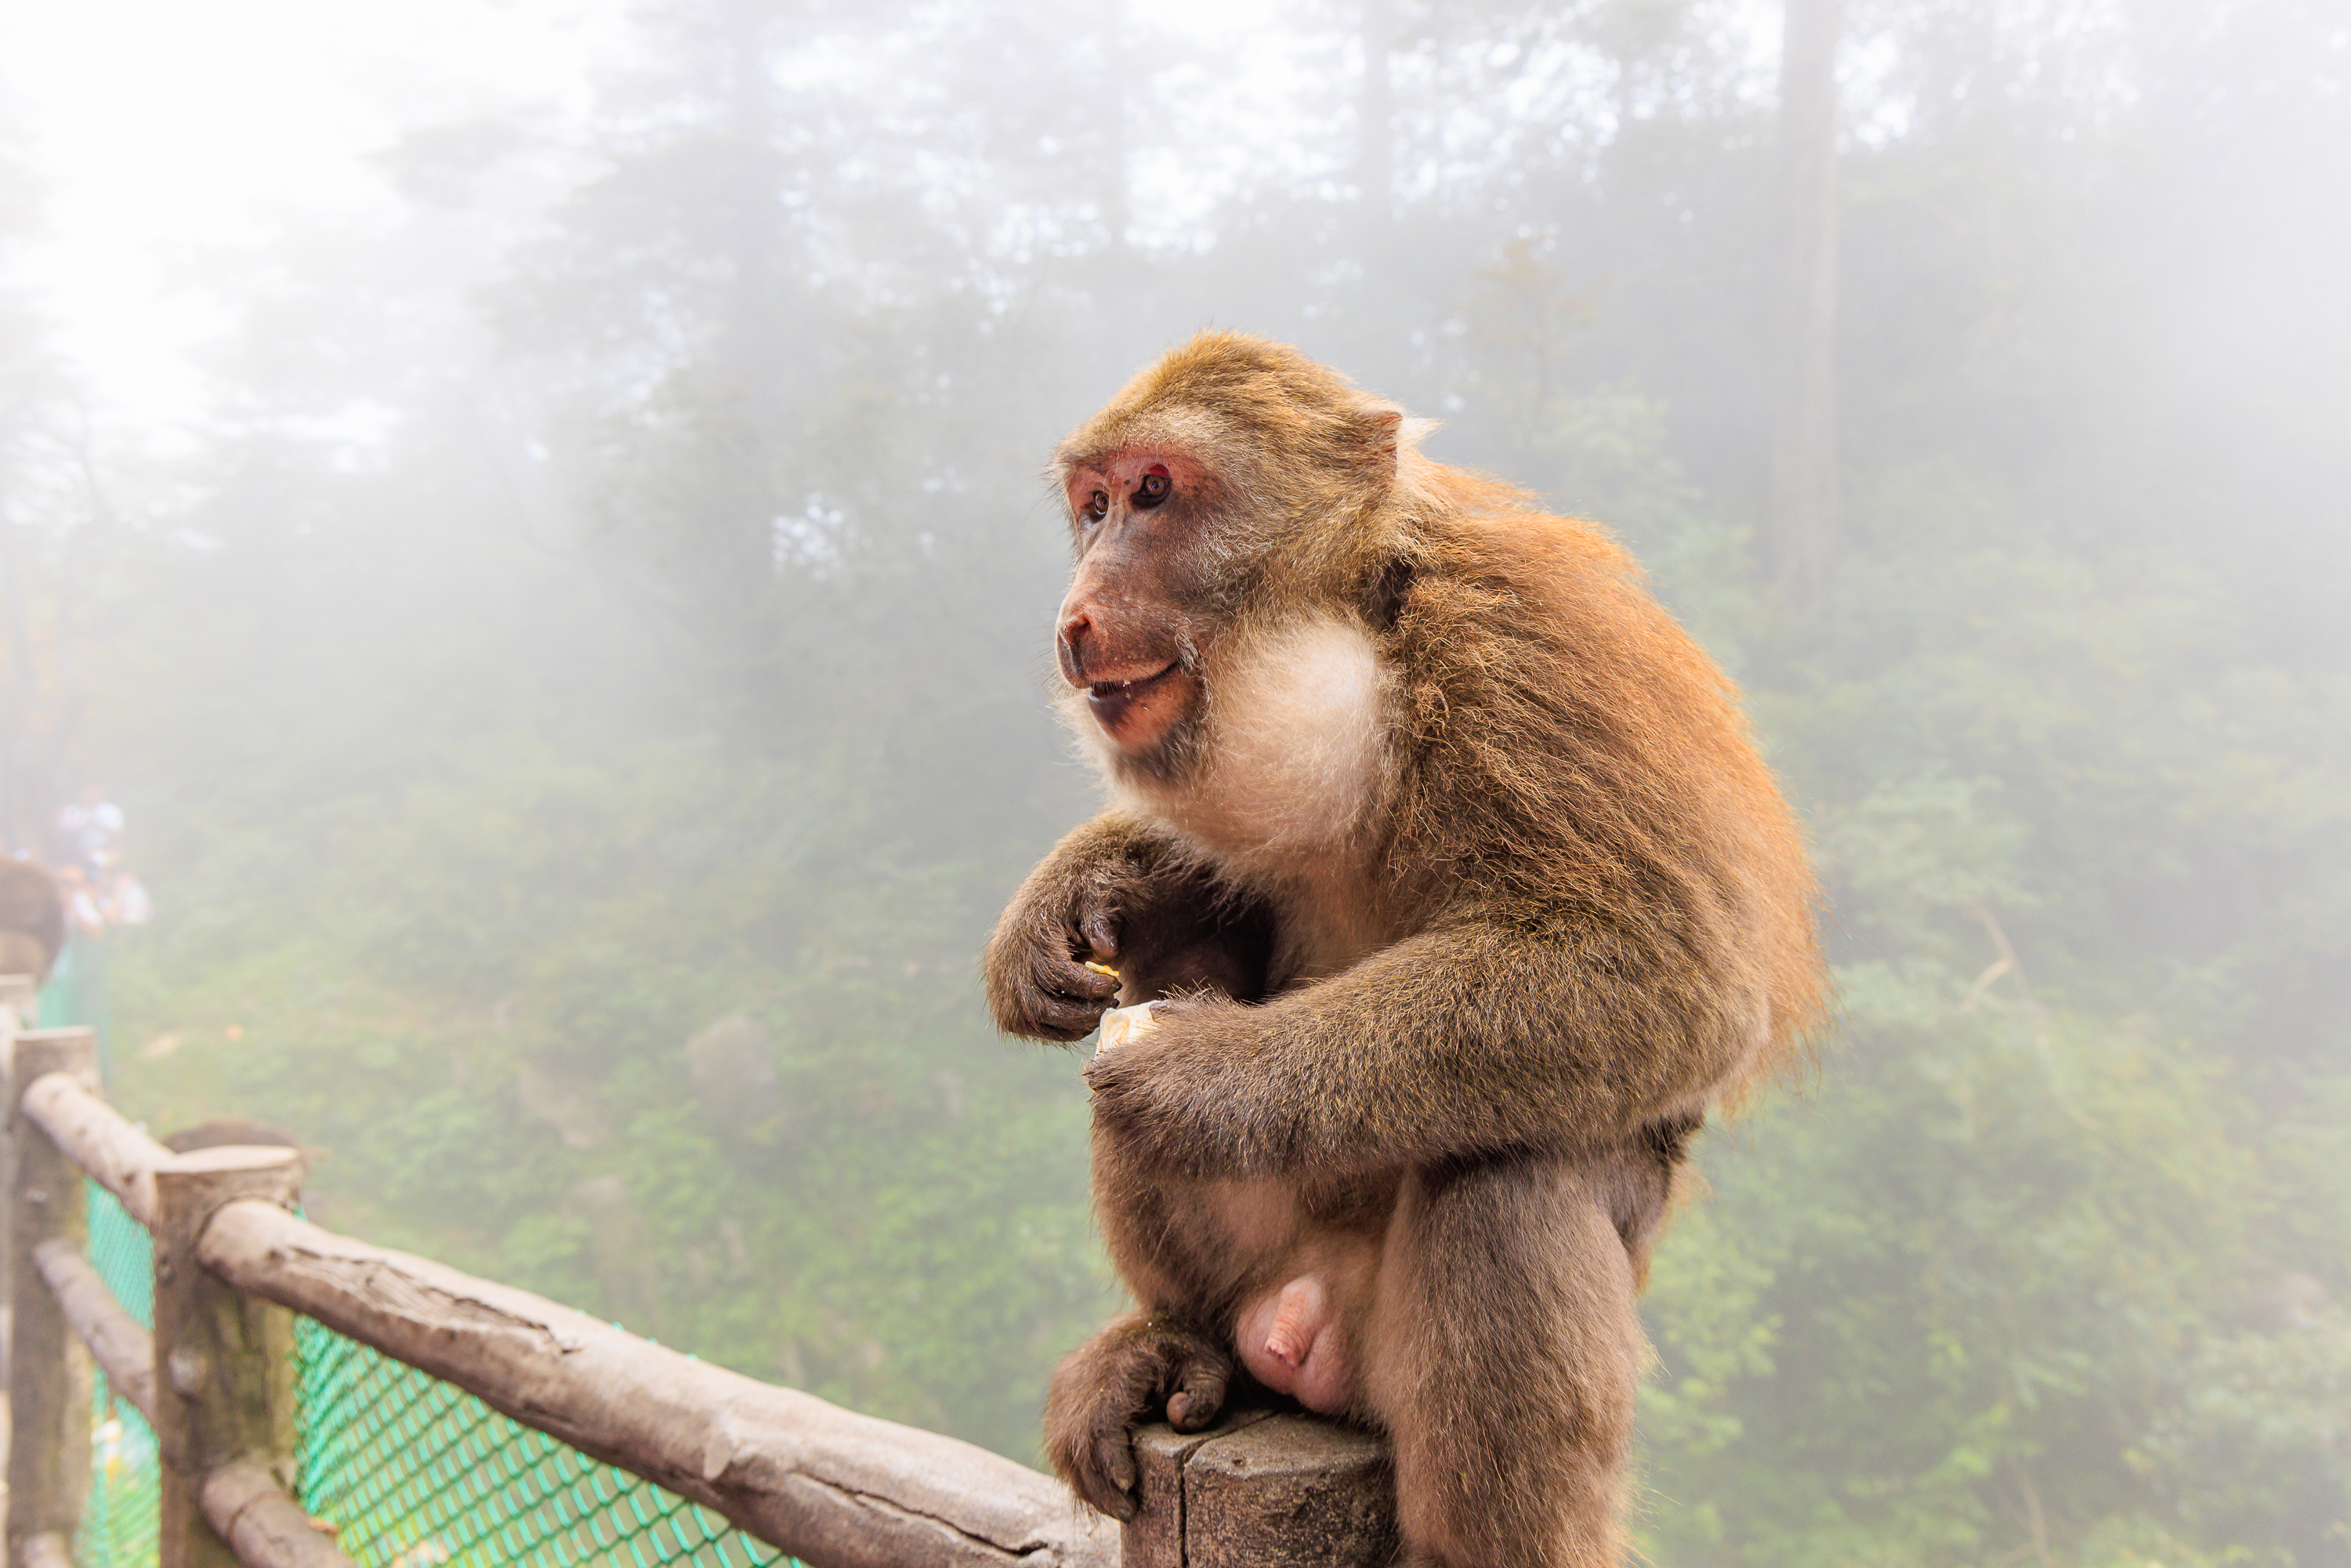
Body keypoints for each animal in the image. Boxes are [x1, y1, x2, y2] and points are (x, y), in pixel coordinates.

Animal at [984, 332, 1825, 1568]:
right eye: (1093, 507)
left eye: (1155, 493)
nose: (1077, 614)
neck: (1356, 634)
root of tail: (1302, 1326)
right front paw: (1071, 890)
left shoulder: (1517, 652)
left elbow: (1663, 970)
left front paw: (1204, 1077)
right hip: (1261, 1260)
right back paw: (1175, 1345)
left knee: (1507, 1184)